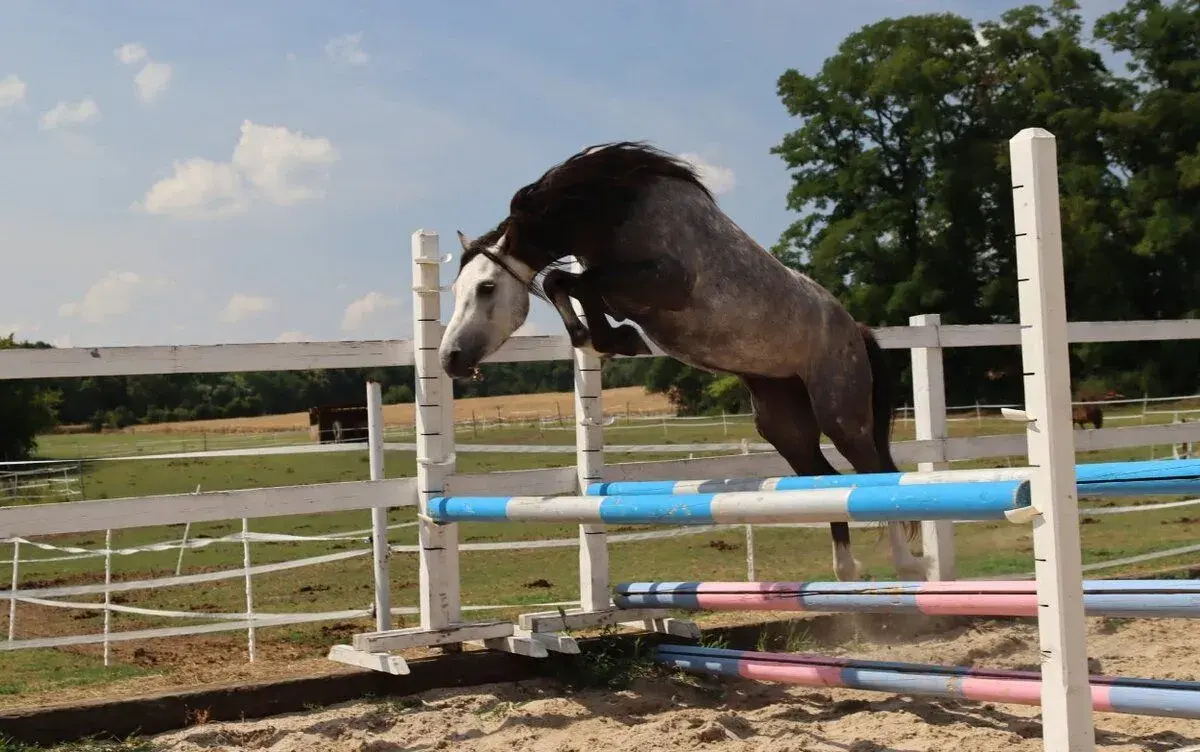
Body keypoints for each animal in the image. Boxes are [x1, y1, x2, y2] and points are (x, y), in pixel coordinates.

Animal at [437, 141, 928, 582]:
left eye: (485, 288)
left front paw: (609, 338)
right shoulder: (617, 284)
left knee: (874, 475)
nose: (449, 359)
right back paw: (847, 571)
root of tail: (856, 329)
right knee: (824, 482)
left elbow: (572, 280)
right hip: (783, 423)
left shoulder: (664, 280)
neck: (613, 210)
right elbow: (572, 284)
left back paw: (907, 567)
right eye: (457, 289)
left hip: (841, 413)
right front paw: (606, 339)